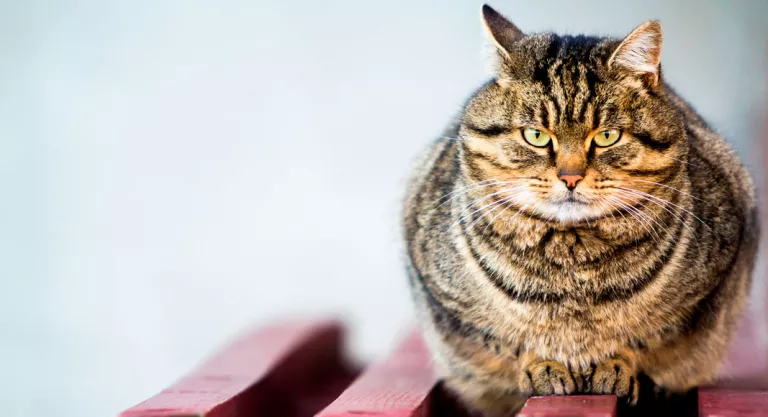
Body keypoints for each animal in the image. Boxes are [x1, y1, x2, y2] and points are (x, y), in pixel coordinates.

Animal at [402, 4, 760, 416]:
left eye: (606, 136)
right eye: (536, 136)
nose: (570, 177)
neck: (571, 259)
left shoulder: (711, 287)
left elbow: (645, 338)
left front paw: (616, 364)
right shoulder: (449, 302)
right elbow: (509, 341)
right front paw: (542, 365)